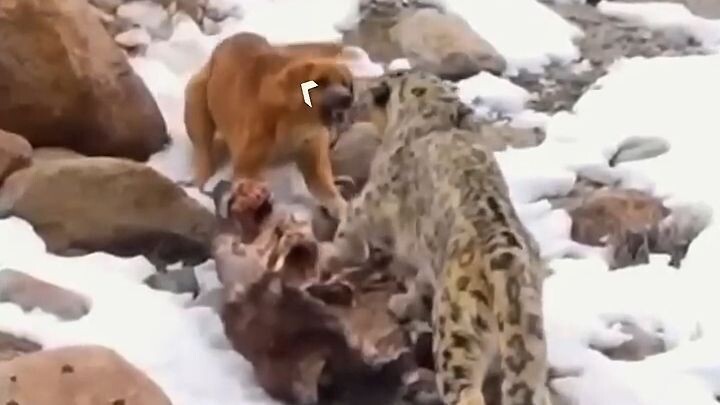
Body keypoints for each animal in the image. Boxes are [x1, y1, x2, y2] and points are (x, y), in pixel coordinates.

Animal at [327, 69, 553, 405]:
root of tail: (507, 262)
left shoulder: (372, 200)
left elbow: (350, 225)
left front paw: (332, 254)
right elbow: (420, 283)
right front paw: (403, 303)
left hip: (457, 331)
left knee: (465, 391)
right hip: (529, 346)